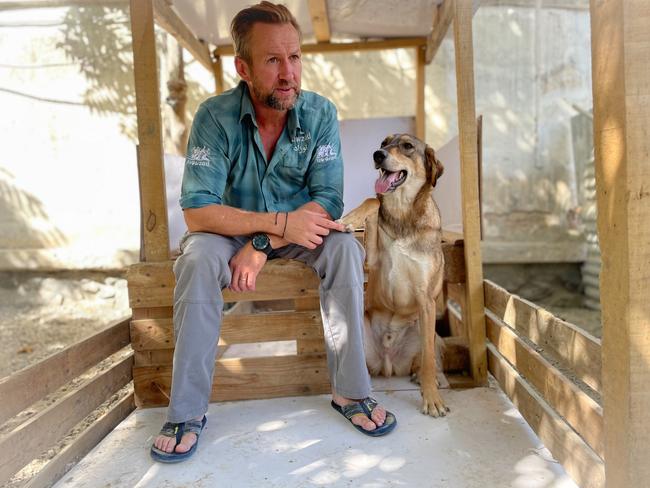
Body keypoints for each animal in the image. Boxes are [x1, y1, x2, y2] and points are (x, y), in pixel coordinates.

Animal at [340, 133, 446, 416]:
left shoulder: (426, 299)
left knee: (427, 357)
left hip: (426, 327)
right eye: (384, 143)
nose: (377, 155)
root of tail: (388, 364)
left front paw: (432, 400)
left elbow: (429, 359)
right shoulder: (373, 261)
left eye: (407, 146)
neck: (403, 214)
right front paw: (349, 218)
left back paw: (427, 377)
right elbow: (374, 200)